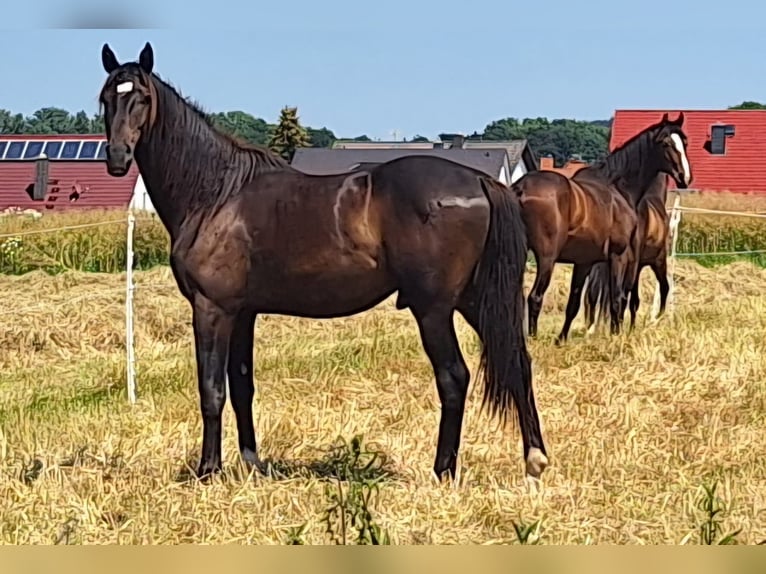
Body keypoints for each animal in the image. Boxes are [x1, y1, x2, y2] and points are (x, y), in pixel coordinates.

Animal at [97, 42, 548, 484]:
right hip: (474, 300)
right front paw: (251, 463)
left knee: (454, 378)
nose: (117, 158)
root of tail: (481, 181)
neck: (216, 194)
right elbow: (242, 387)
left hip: (433, 309)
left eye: (140, 98)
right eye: (105, 98)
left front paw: (208, 471)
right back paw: (534, 459)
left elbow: (211, 390)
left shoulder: (212, 309)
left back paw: (443, 470)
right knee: (518, 363)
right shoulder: (242, 313)